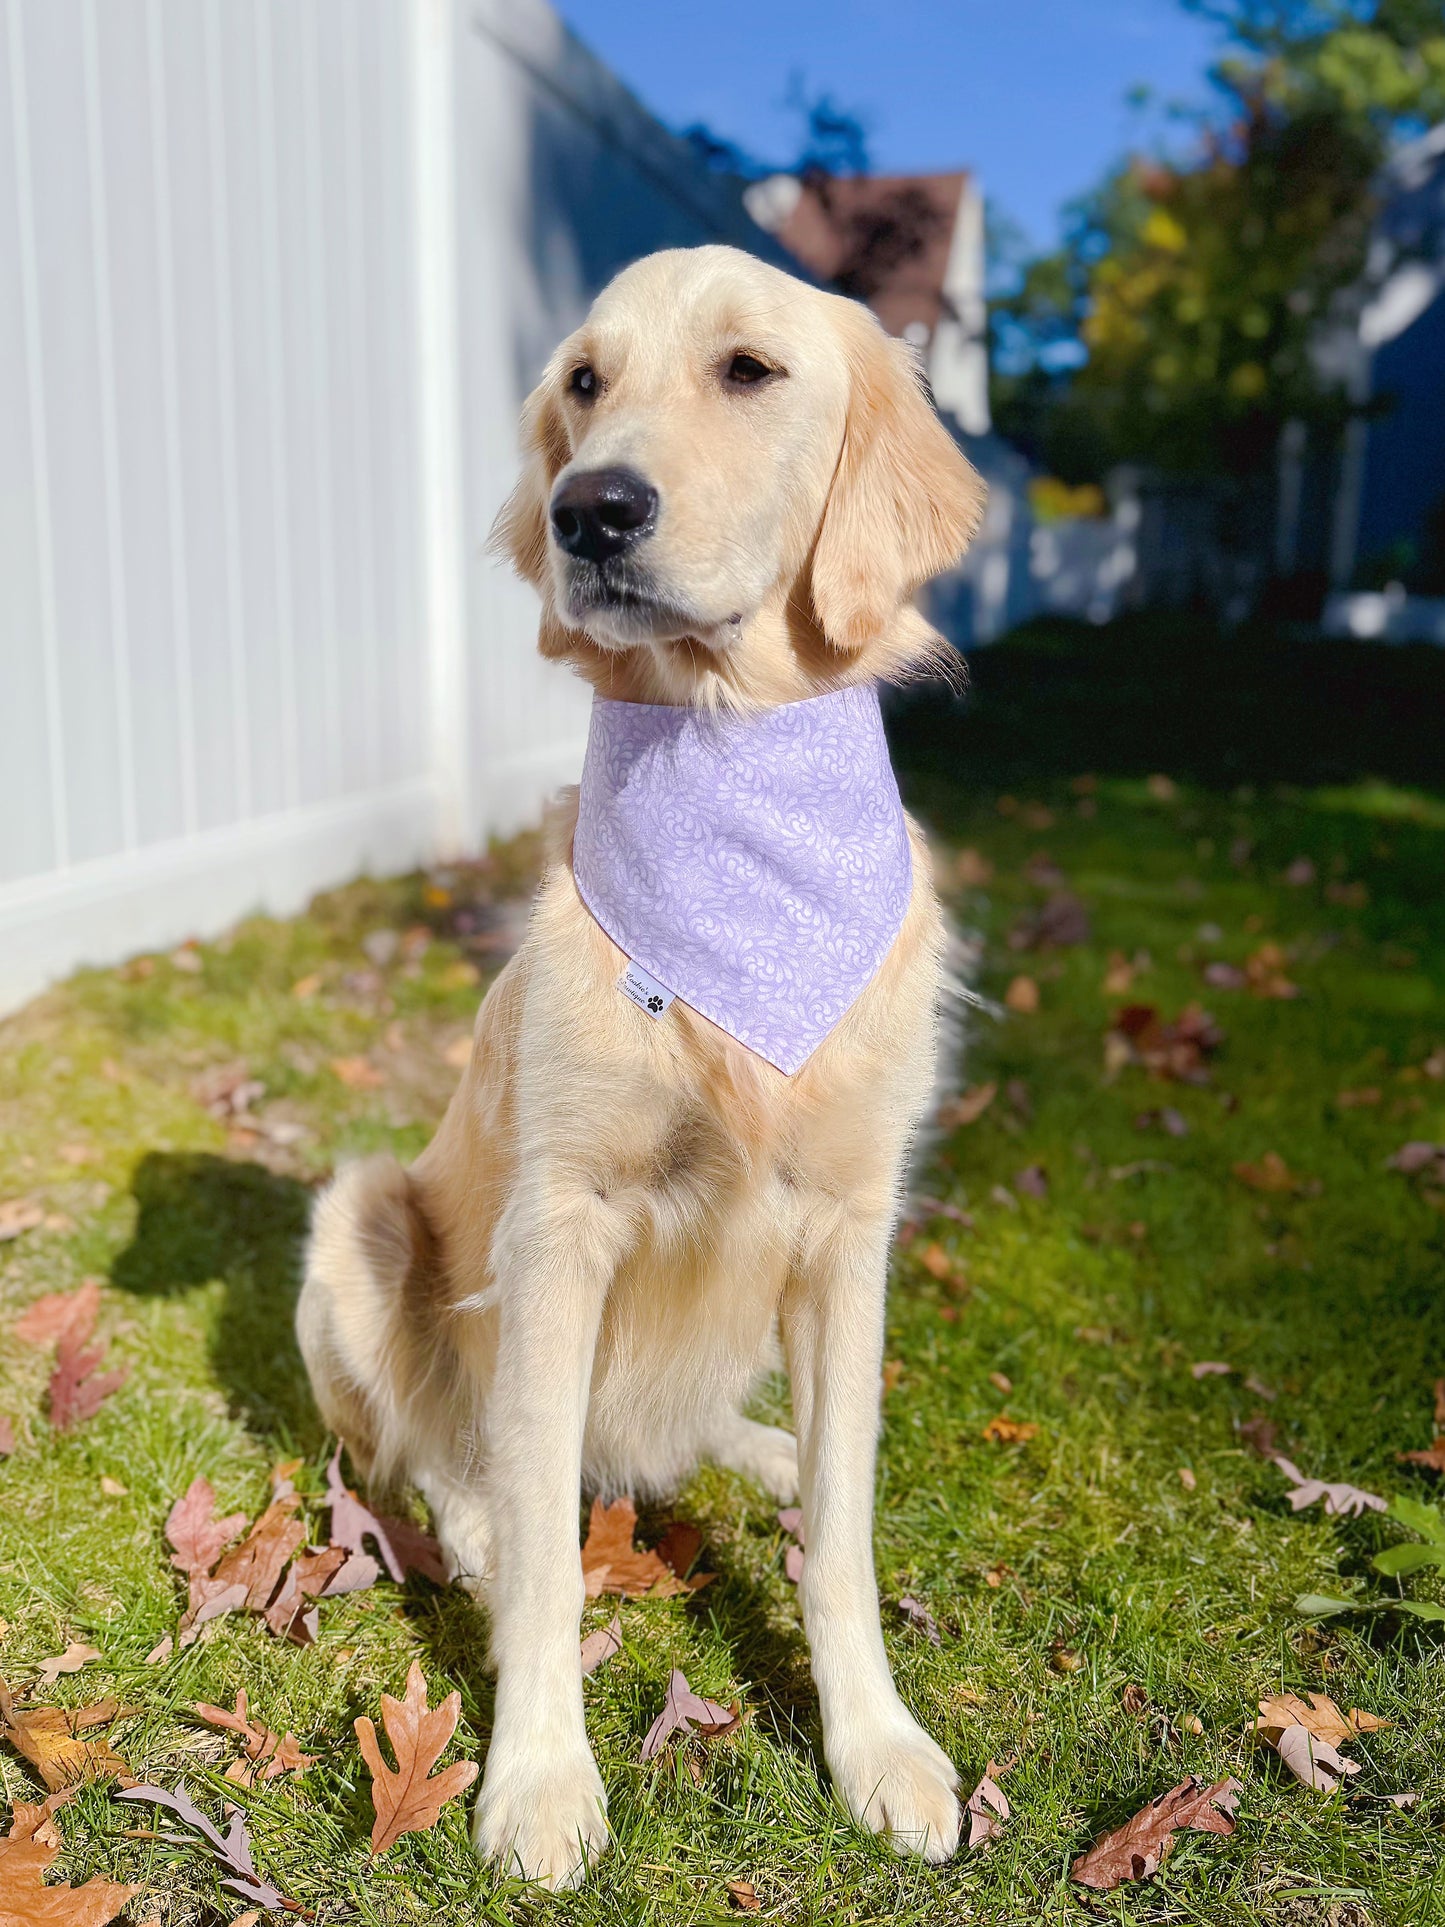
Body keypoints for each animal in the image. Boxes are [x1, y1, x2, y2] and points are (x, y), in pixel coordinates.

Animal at [300, 240, 994, 1880]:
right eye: (582, 381)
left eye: (749, 369)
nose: (590, 509)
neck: (723, 755)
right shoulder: (559, 1223)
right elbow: (551, 1557)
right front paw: (540, 1779)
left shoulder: (851, 1227)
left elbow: (845, 1530)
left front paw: (876, 1741)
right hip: (360, 1224)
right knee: (446, 1456)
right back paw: (481, 1525)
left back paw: (759, 1449)